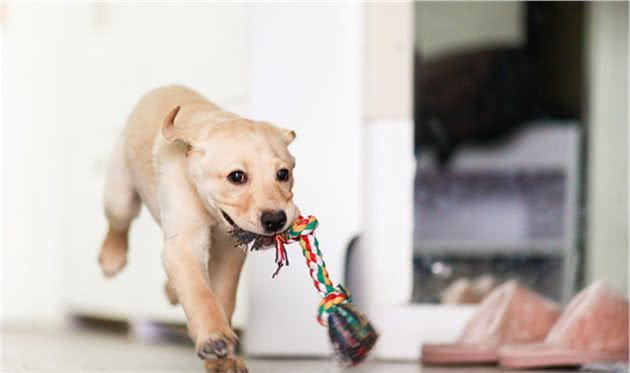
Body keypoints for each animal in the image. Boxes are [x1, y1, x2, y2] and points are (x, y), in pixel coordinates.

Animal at [98, 85, 298, 372]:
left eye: (283, 174)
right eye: (236, 177)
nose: (275, 220)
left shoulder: (229, 252)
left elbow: (221, 297)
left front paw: (223, 360)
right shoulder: (184, 245)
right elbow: (199, 293)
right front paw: (213, 337)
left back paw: (171, 291)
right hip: (120, 192)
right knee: (118, 222)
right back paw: (111, 257)